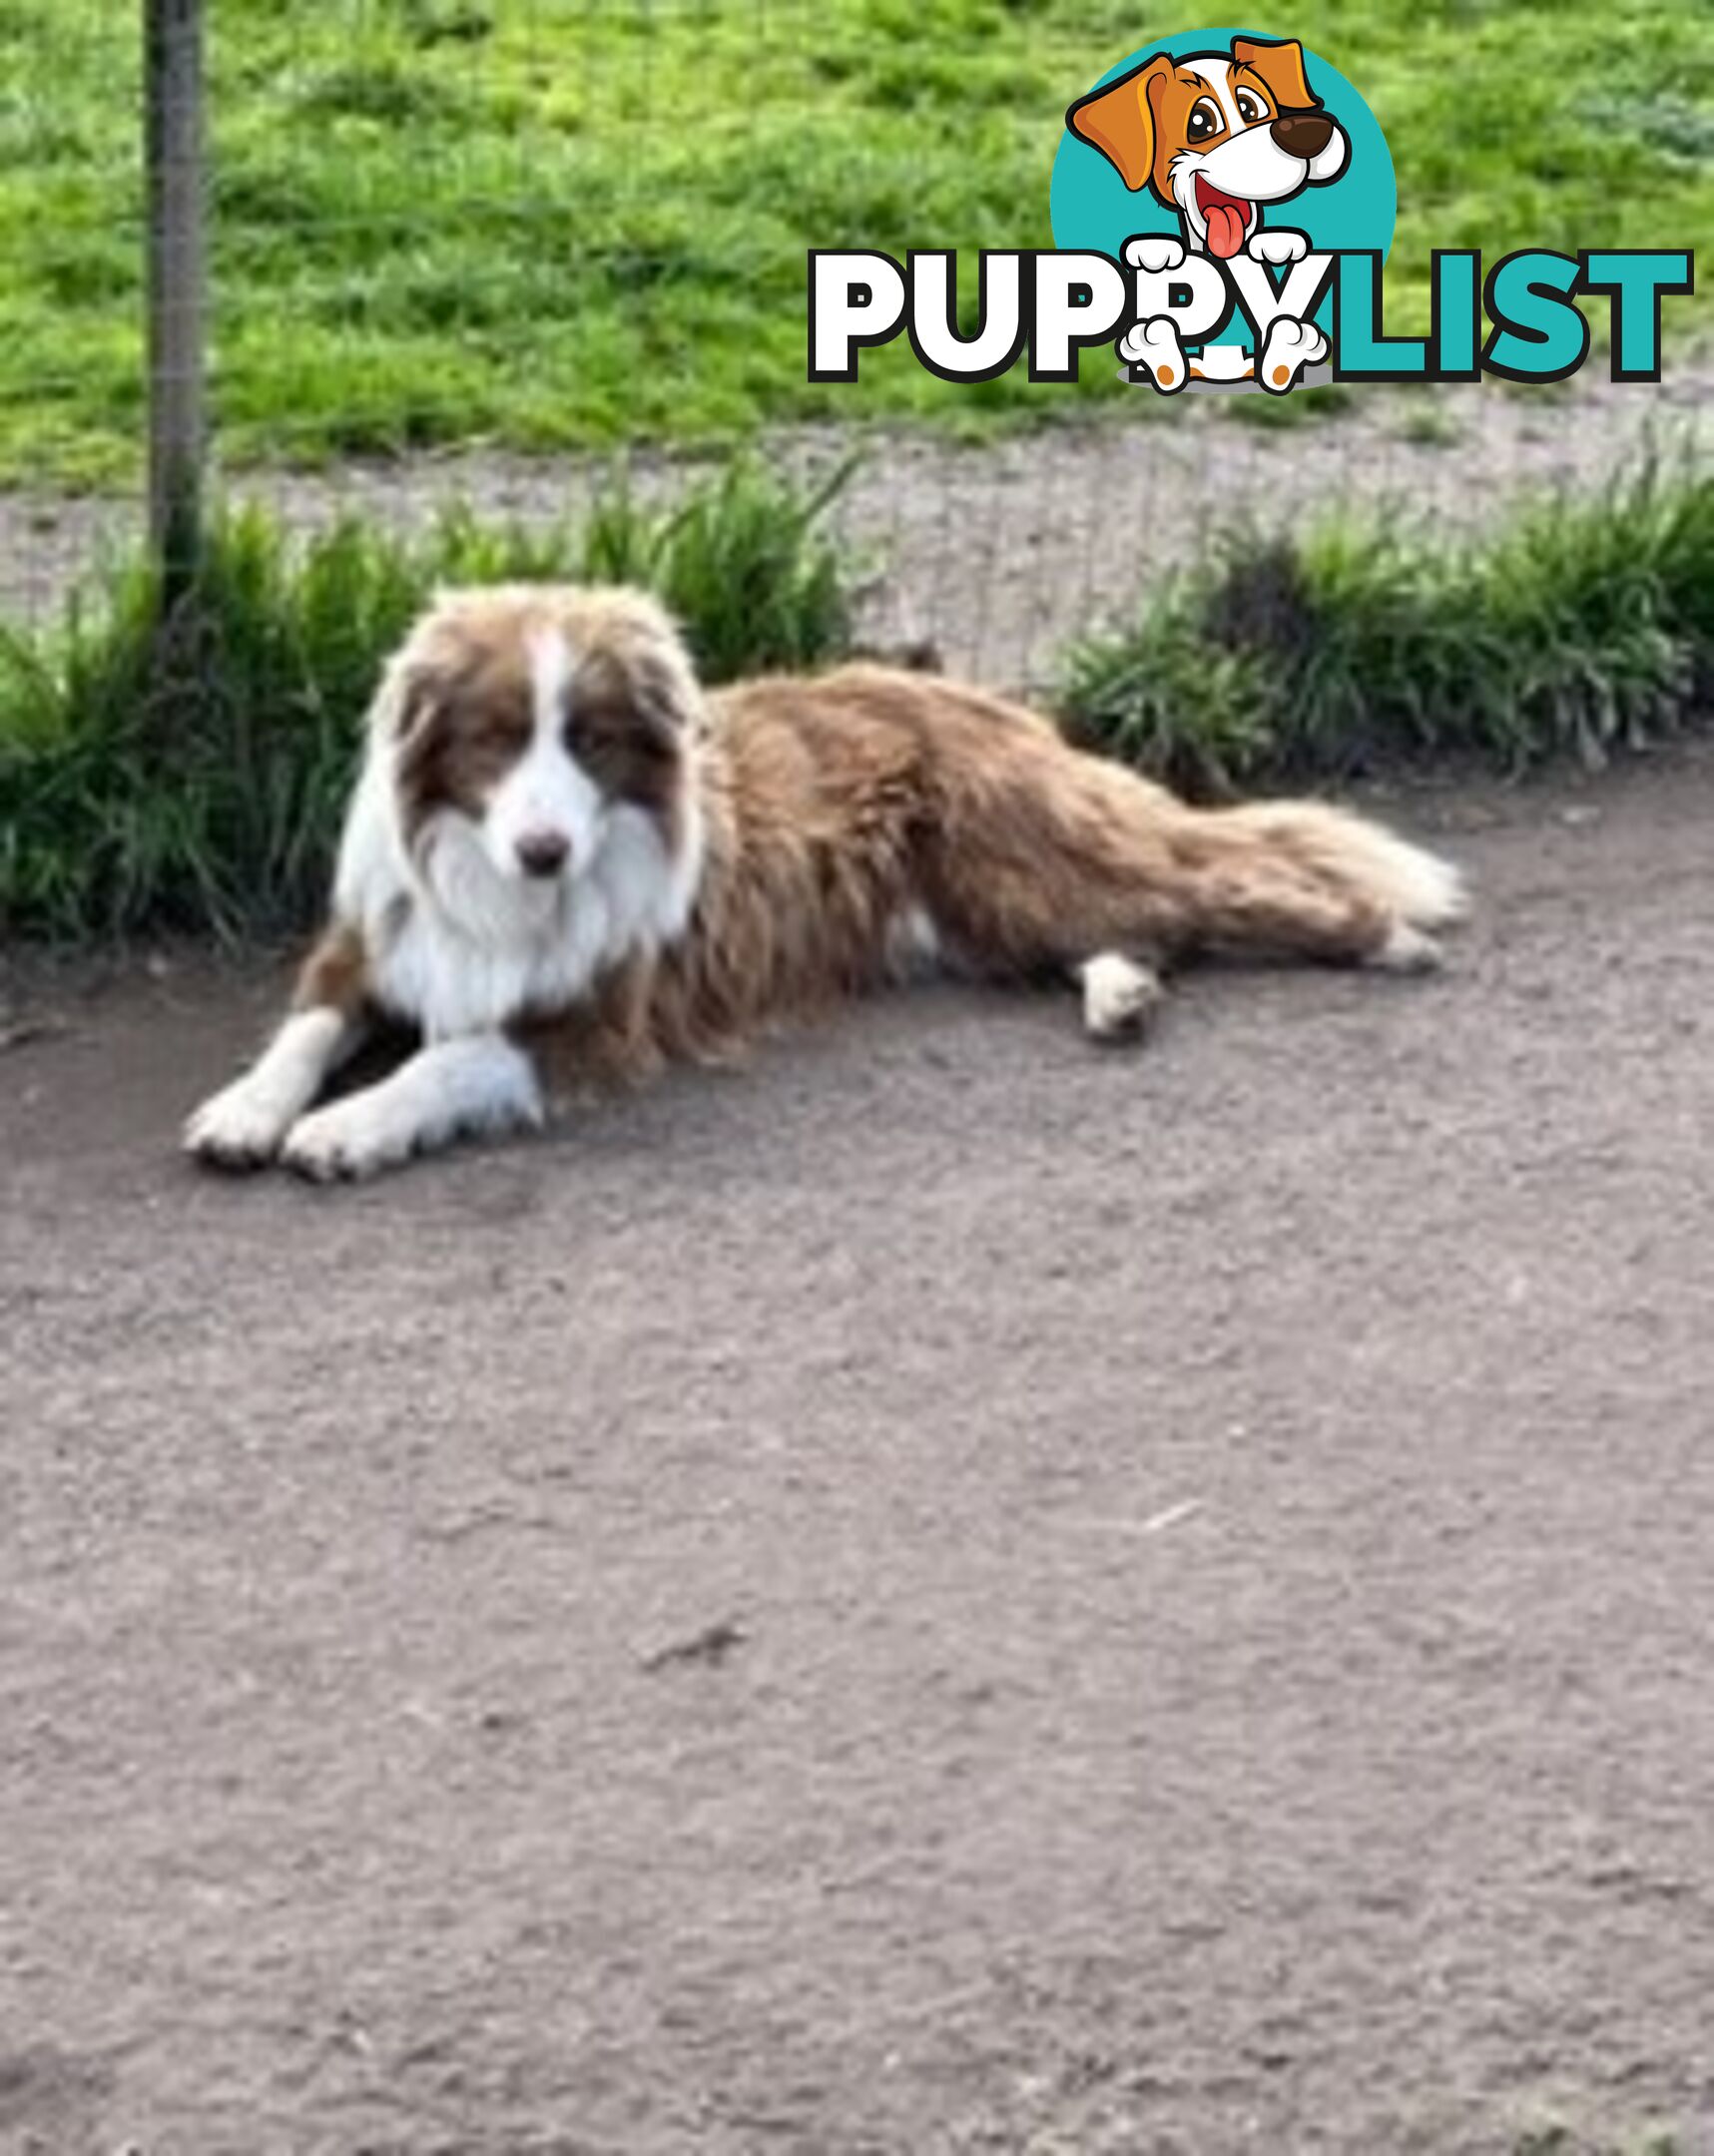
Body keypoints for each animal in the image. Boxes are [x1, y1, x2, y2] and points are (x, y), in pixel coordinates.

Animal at [191, 586, 1474, 1181]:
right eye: (497, 740)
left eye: (590, 740)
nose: (545, 851)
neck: (499, 888)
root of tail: (984, 698)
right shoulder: (373, 941)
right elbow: (303, 1029)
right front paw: (249, 1108)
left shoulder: (601, 1021)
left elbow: (446, 1059)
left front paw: (346, 1126)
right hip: (990, 913)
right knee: (1139, 935)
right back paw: (1120, 997)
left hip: (1025, 870)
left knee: (1224, 892)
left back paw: (1382, 937)